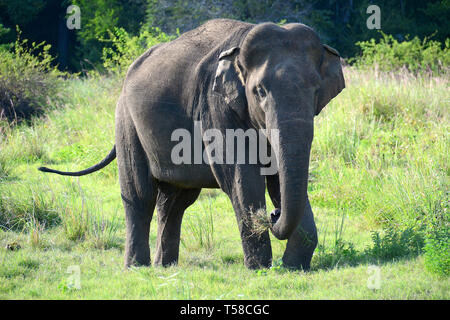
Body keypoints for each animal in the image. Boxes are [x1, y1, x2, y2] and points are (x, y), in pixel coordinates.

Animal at [40, 18, 346, 272]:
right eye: (259, 91)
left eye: (316, 92)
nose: (273, 213)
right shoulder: (215, 106)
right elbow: (242, 177)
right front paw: (260, 269)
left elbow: (277, 177)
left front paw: (294, 267)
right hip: (126, 121)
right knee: (140, 195)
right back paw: (137, 267)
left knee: (175, 202)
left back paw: (164, 266)